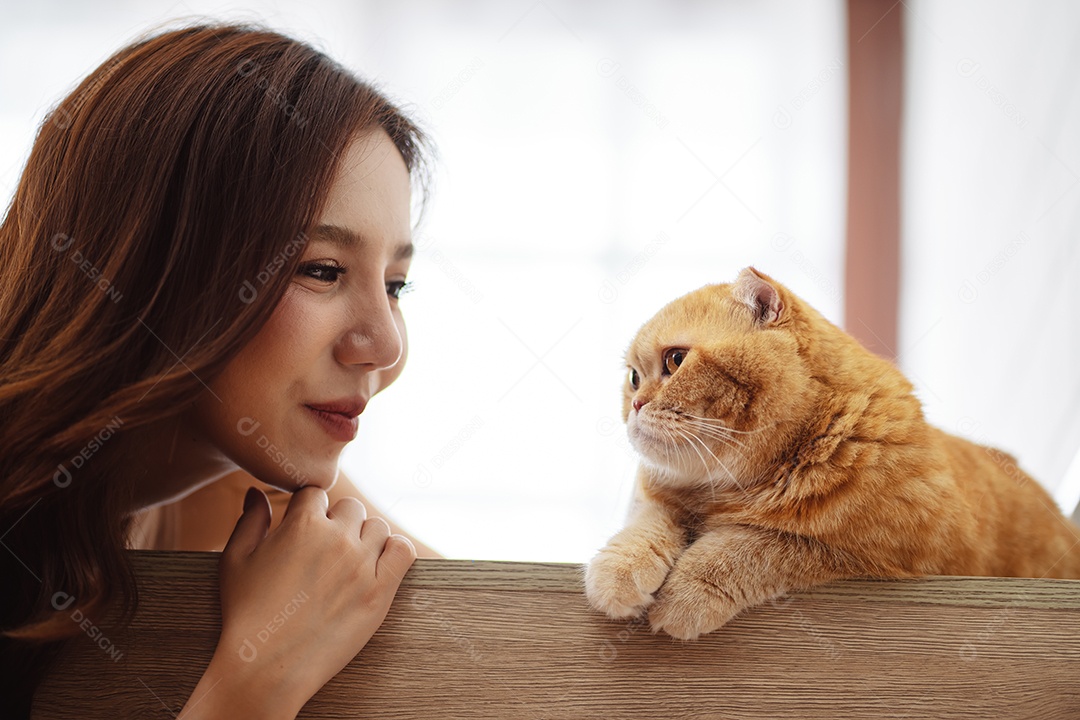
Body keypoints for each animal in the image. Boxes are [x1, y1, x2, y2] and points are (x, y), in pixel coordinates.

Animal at [587, 267, 1080, 639]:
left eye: (674, 360)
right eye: (633, 377)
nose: (635, 405)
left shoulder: (867, 553)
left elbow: (751, 544)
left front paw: (687, 594)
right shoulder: (654, 498)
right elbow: (647, 525)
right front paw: (619, 570)